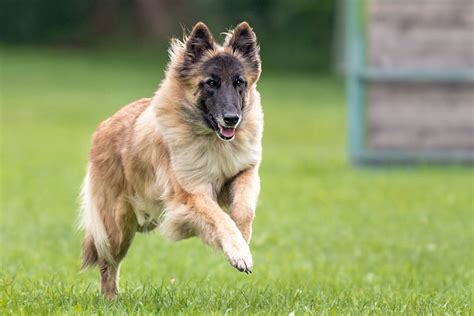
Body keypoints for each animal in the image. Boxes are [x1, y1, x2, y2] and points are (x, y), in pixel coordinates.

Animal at [78, 22, 262, 298]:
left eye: (239, 82)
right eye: (211, 83)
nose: (232, 119)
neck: (212, 140)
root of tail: (104, 126)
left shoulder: (244, 172)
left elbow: (243, 209)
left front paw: (243, 239)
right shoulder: (191, 194)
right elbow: (220, 218)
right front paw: (238, 252)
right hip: (117, 227)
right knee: (107, 264)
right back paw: (110, 300)